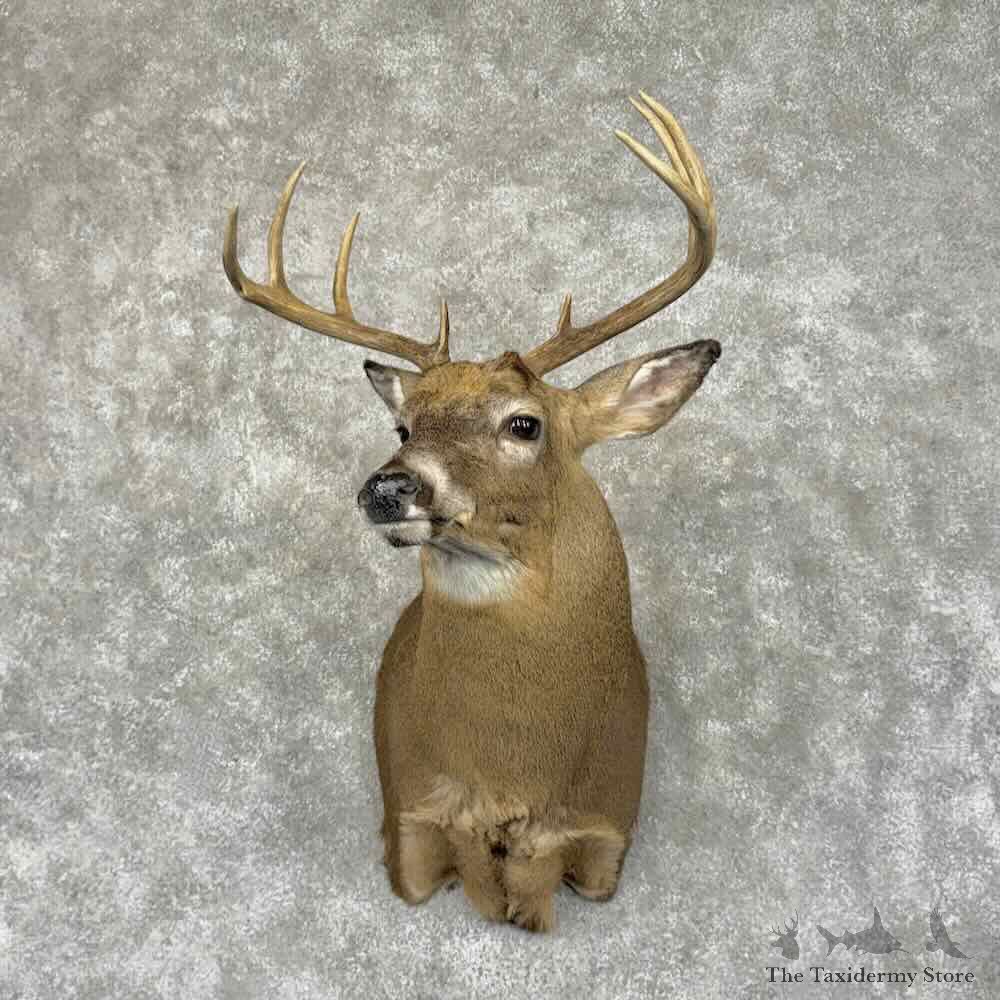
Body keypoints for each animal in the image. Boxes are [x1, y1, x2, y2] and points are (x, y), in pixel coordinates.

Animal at [222, 91, 719, 932]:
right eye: (404, 426)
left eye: (525, 423)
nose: (389, 488)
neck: (513, 772)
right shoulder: (410, 818)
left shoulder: (605, 828)